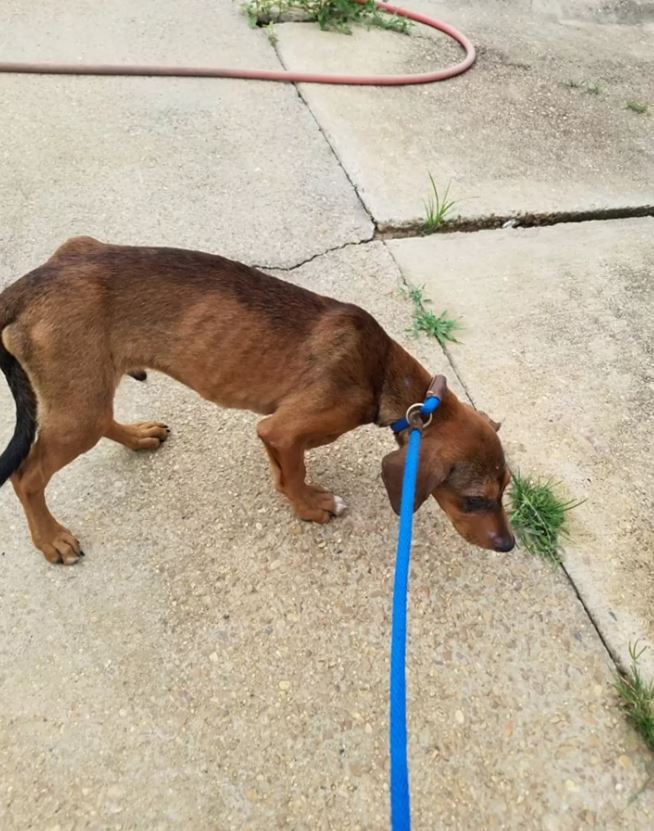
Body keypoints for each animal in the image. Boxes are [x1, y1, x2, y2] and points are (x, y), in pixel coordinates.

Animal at [0, 240, 516, 564]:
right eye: (474, 500)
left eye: (505, 490)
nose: (508, 545)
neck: (383, 372)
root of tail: (27, 285)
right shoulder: (283, 427)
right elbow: (296, 473)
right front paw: (312, 506)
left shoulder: (279, 432)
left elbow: (285, 471)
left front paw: (294, 492)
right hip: (76, 408)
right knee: (27, 477)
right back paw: (52, 539)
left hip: (84, 387)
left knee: (103, 418)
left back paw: (138, 436)